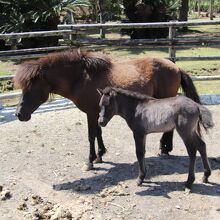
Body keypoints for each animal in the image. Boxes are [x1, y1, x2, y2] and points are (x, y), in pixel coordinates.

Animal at [13, 49, 199, 170]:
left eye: (31, 87)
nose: (19, 114)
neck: (80, 78)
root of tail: (175, 67)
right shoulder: (96, 112)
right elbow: (98, 133)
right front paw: (100, 155)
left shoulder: (90, 113)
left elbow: (91, 135)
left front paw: (90, 161)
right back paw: (165, 148)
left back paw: (165, 149)